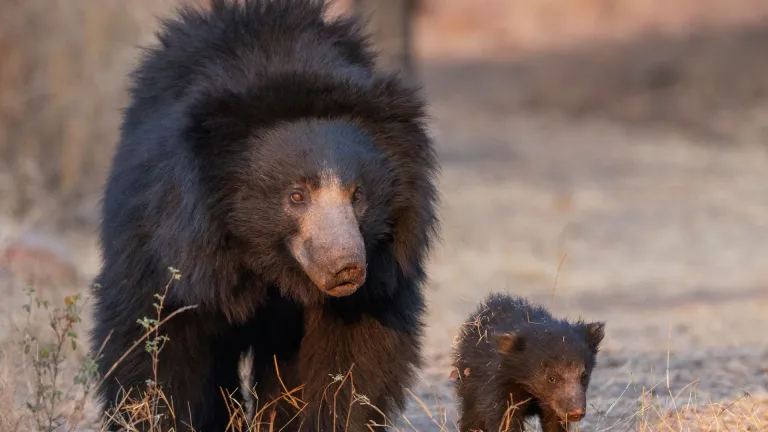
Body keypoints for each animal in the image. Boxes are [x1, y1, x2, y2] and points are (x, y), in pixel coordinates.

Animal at [90, 1, 438, 430]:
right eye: (296, 195)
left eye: (358, 195)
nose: (347, 268)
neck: (271, 265)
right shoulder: (169, 245)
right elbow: (157, 341)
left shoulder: (379, 279)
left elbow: (354, 358)